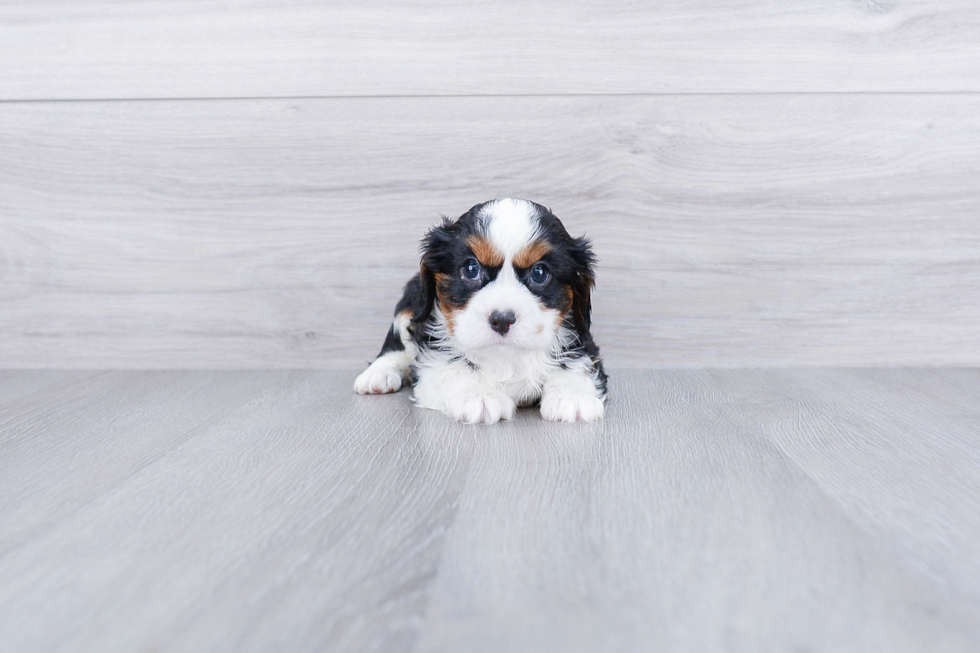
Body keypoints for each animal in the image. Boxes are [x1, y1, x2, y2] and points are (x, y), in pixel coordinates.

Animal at [356, 199, 604, 422]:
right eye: (471, 269)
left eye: (540, 273)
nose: (502, 319)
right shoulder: (432, 360)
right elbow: (454, 369)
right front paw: (479, 396)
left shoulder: (582, 339)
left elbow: (578, 364)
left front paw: (572, 396)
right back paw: (377, 375)